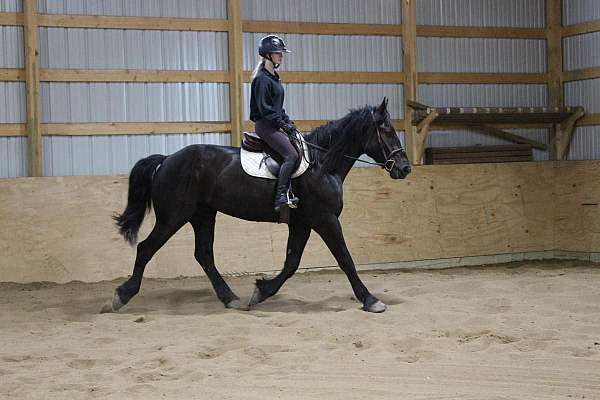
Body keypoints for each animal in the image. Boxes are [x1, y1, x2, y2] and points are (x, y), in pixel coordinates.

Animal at [111, 97, 412, 312]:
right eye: (386, 131)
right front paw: (370, 299)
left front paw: (261, 291)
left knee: (204, 255)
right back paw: (122, 296)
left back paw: (230, 297)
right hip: (173, 217)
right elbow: (345, 259)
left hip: (203, 215)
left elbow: (291, 263)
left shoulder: (303, 223)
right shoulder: (325, 219)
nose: (405, 168)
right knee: (146, 248)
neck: (322, 165)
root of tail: (166, 159)